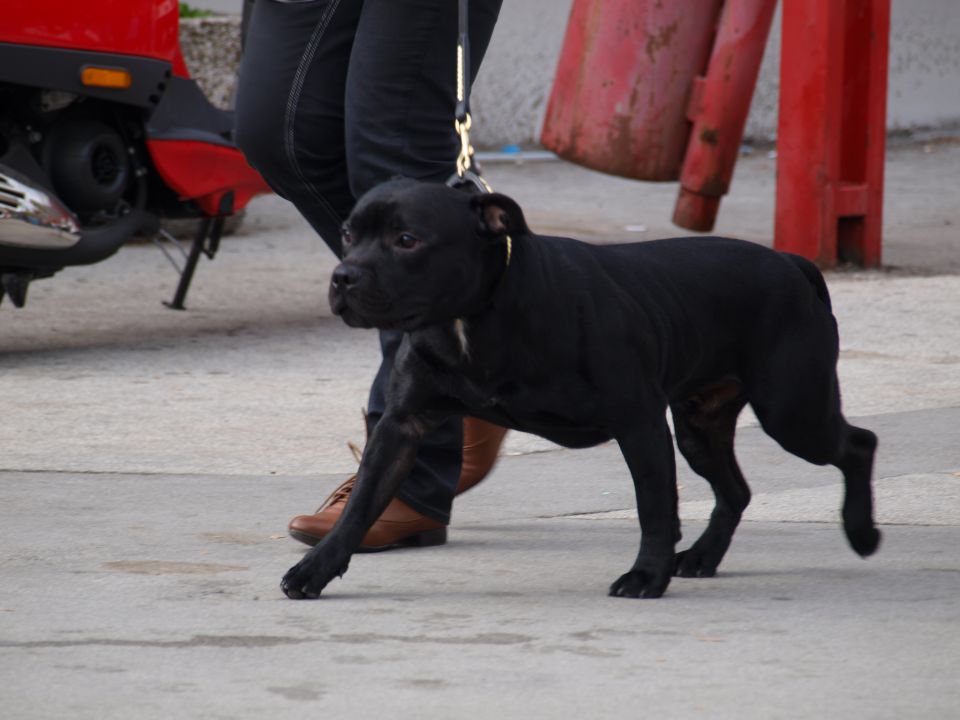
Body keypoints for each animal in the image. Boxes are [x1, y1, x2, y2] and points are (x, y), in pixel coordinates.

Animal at [280, 180, 876, 600]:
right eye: (349, 235)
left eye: (408, 240)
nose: (344, 276)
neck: (474, 315)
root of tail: (791, 264)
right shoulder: (401, 428)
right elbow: (362, 504)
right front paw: (315, 569)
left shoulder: (639, 424)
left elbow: (654, 506)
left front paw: (646, 576)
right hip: (701, 427)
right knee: (736, 490)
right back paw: (704, 556)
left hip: (792, 411)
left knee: (858, 444)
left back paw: (862, 532)